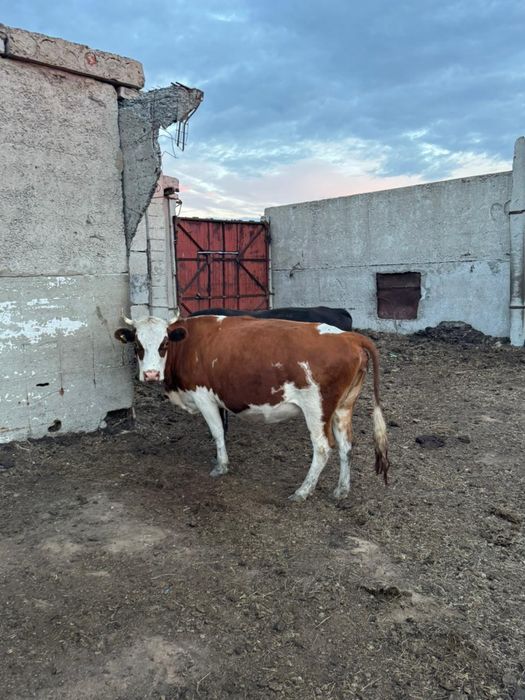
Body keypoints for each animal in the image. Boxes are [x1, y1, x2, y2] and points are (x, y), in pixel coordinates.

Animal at [114, 312, 389, 501]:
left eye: (164, 344)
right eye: (137, 345)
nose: (150, 374)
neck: (188, 345)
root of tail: (348, 336)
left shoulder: (203, 397)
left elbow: (216, 432)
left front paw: (221, 467)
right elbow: (223, 432)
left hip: (317, 408)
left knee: (323, 448)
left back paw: (303, 491)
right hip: (344, 407)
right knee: (346, 446)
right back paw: (341, 490)